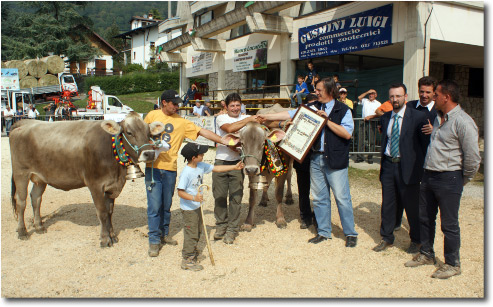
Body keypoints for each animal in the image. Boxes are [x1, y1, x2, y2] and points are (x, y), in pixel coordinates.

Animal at [9, 113, 165, 248]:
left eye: (149, 134)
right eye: (129, 132)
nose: (149, 153)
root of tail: (26, 123)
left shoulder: (111, 186)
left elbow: (109, 212)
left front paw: (113, 236)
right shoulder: (95, 184)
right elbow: (102, 212)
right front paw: (105, 239)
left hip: (40, 178)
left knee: (36, 198)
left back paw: (39, 226)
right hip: (21, 173)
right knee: (21, 202)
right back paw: (22, 231)